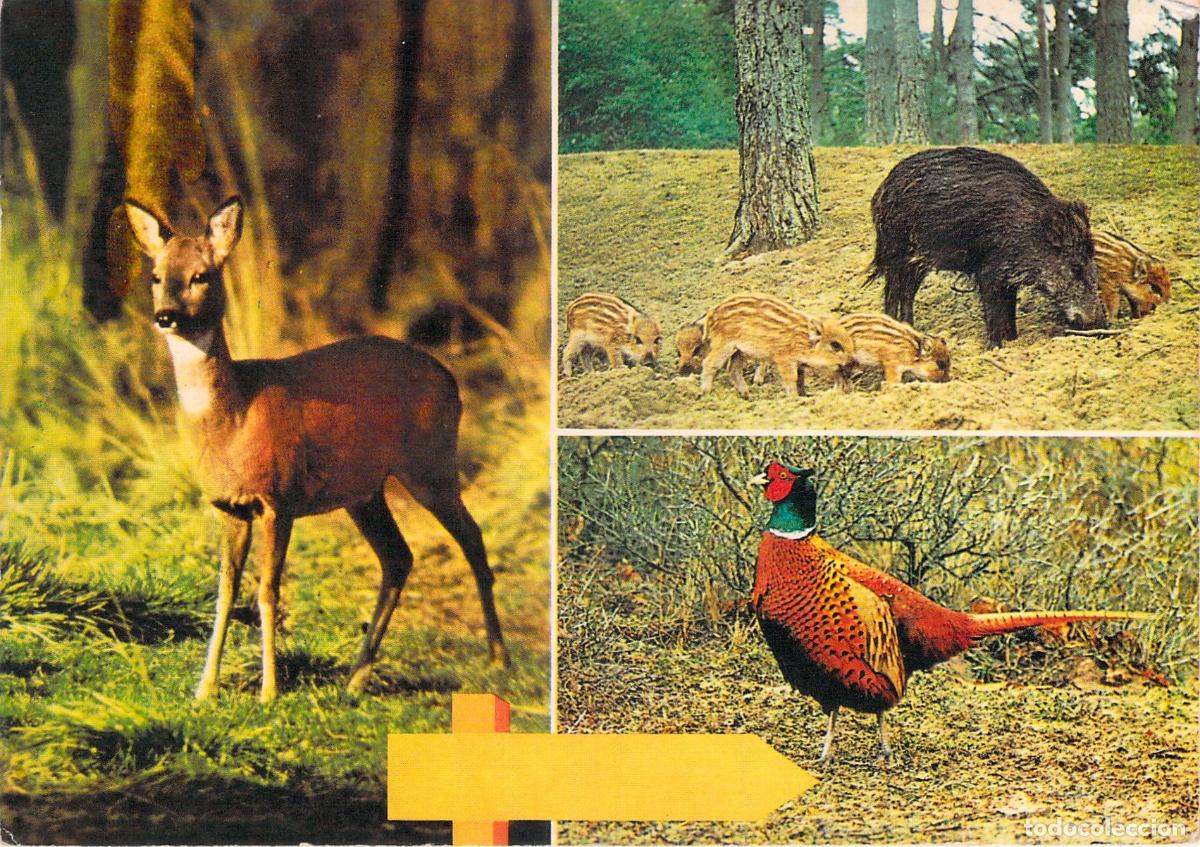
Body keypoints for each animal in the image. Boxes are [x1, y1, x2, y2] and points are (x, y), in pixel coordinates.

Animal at [124, 196, 509, 702]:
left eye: (201, 275)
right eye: (155, 276)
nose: (165, 315)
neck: (234, 416)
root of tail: (451, 379)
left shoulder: (278, 499)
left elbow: (267, 592)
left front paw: (268, 691)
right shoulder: (228, 506)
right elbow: (225, 593)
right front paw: (205, 689)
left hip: (431, 462)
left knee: (472, 537)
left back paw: (499, 658)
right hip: (365, 490)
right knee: (398, 557)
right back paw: (356, 677)